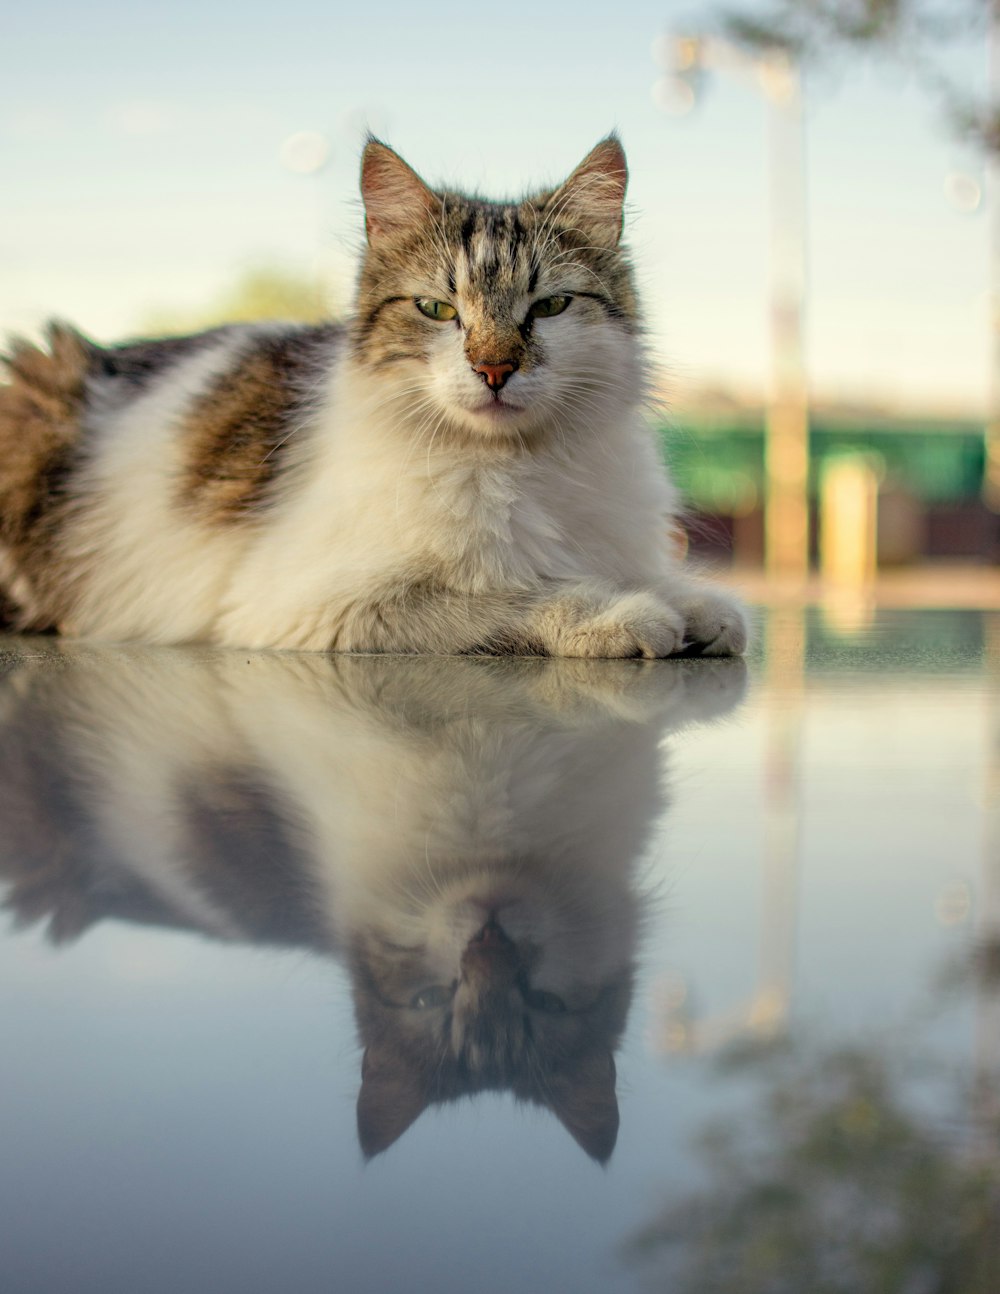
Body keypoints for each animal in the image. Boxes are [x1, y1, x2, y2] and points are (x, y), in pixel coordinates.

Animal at [0, 135, 745, 657]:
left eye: (551, 306)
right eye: (437, 309)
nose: (494, 369)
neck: (522, 462)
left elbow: (637, 572)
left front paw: (695, 604)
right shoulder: (316, 607)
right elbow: (515, 595)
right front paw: (622, 613)